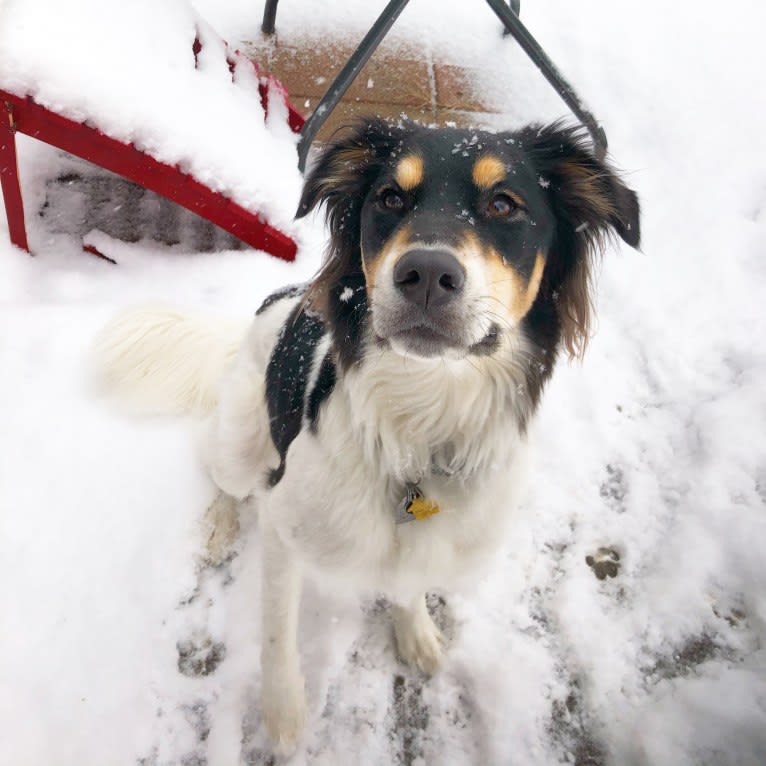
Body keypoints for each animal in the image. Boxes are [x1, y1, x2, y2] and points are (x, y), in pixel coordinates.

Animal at [91, 117, 640, 752]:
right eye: (390, 198)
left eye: (504, 204)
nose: (426, 273)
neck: (418, 432)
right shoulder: (284, 529)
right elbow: (277, 637)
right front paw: (284, 715)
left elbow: (408, 584)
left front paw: (415, 631)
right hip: (242, 440)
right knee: (222, 473)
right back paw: (219, 525)